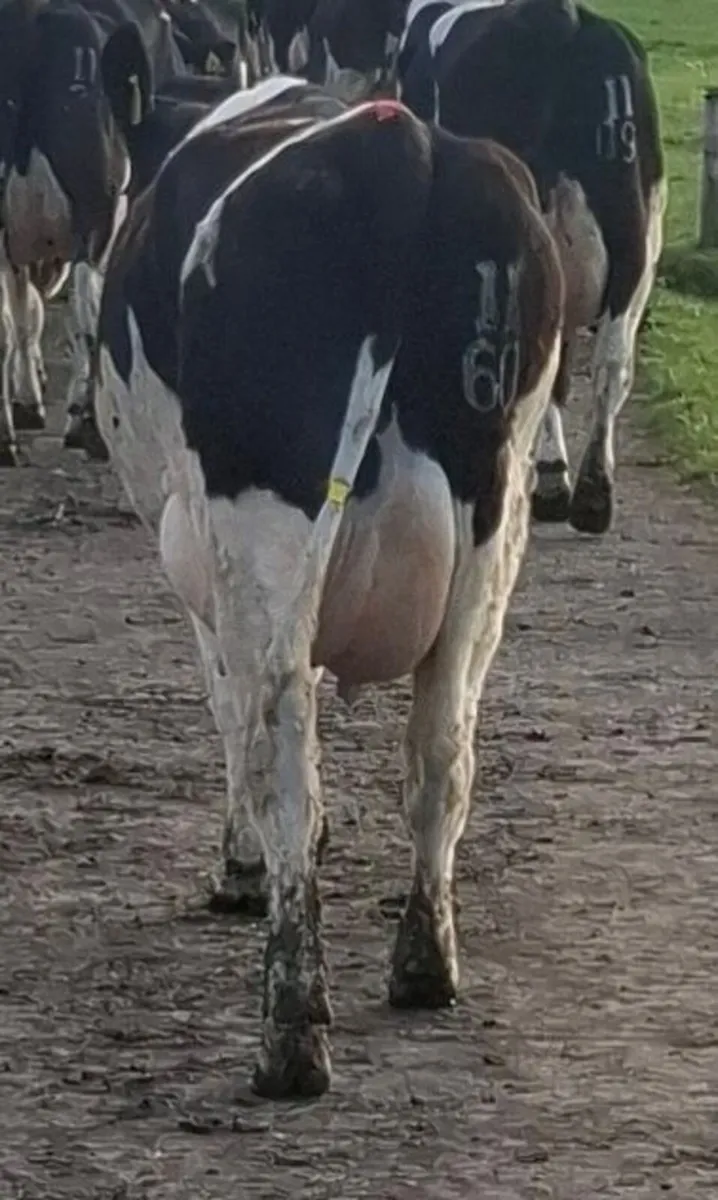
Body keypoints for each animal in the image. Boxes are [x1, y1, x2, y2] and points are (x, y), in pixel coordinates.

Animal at [93, 93, 564, 1096]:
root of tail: (400, 142)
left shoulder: (203, 565)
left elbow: (231, 712)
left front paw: (238, 867)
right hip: (493, 525)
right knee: (442, 748)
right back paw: (424, 965)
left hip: (264, 526)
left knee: (282, 744)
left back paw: (291, 1032)